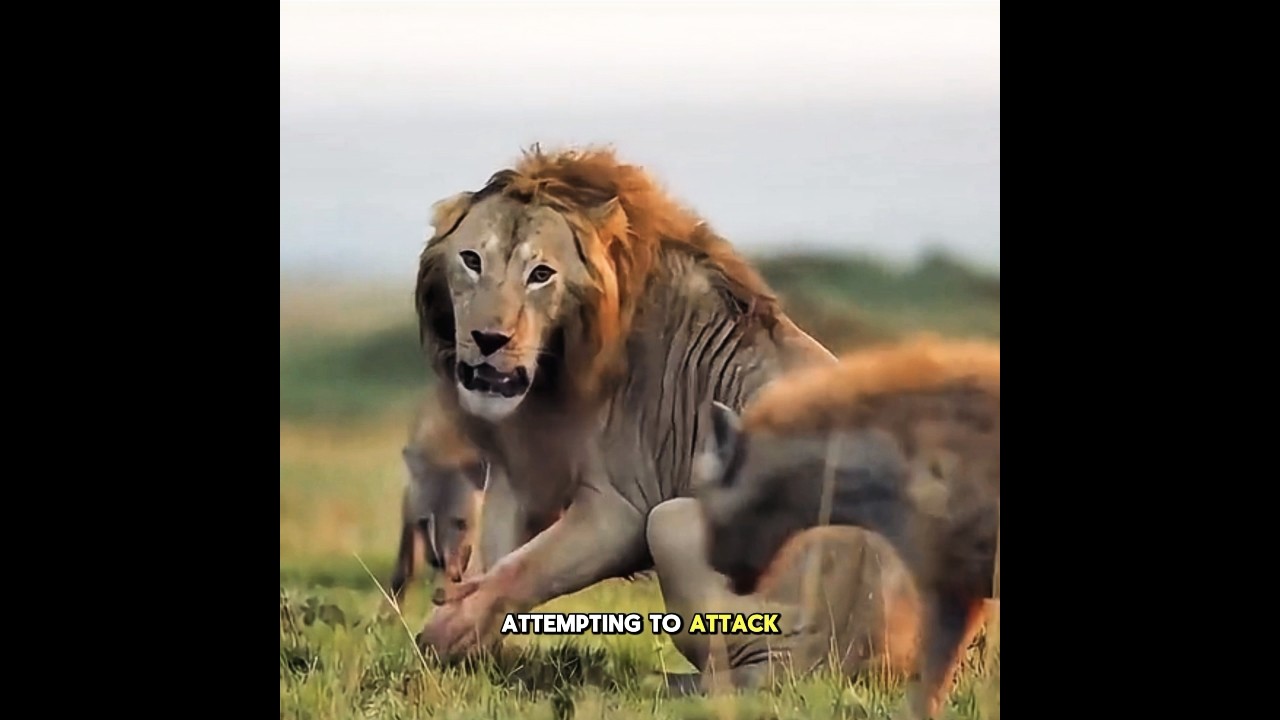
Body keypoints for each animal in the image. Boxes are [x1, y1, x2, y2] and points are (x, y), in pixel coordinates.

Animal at [411, 145, 845, 660]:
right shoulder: (518, 473)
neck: (555, 374)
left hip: (684, 526)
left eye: (541, 275)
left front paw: (451, 627)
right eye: (472, 261)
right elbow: (493, 553)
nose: (489, 339)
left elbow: (522, 569)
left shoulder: (624, 507)